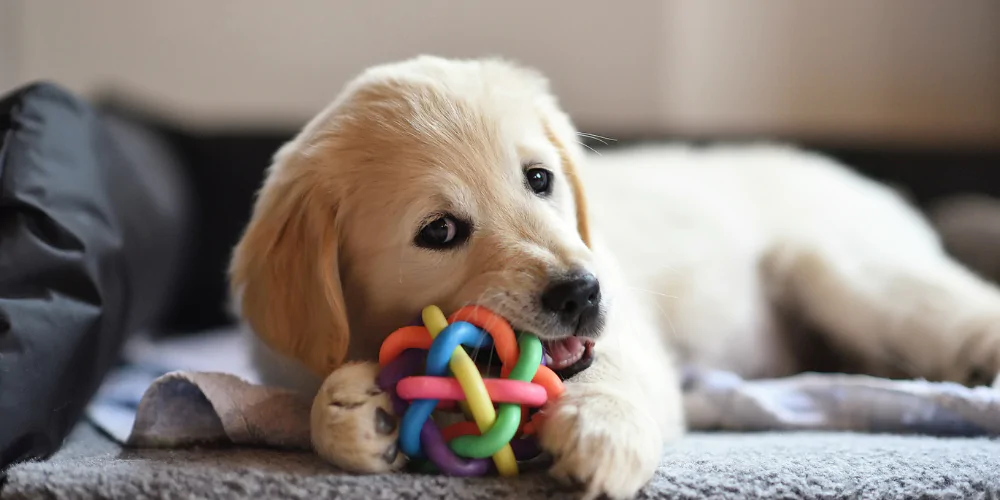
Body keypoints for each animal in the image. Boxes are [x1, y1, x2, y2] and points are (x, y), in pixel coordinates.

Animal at [230, 55, 1000, 500]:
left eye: (539, 179)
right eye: (439, 232)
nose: (581, 292)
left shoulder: (630, 334)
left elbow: (608, 372)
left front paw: (602, 432)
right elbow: (313, 398)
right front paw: (354, 411)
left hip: (846, 274)